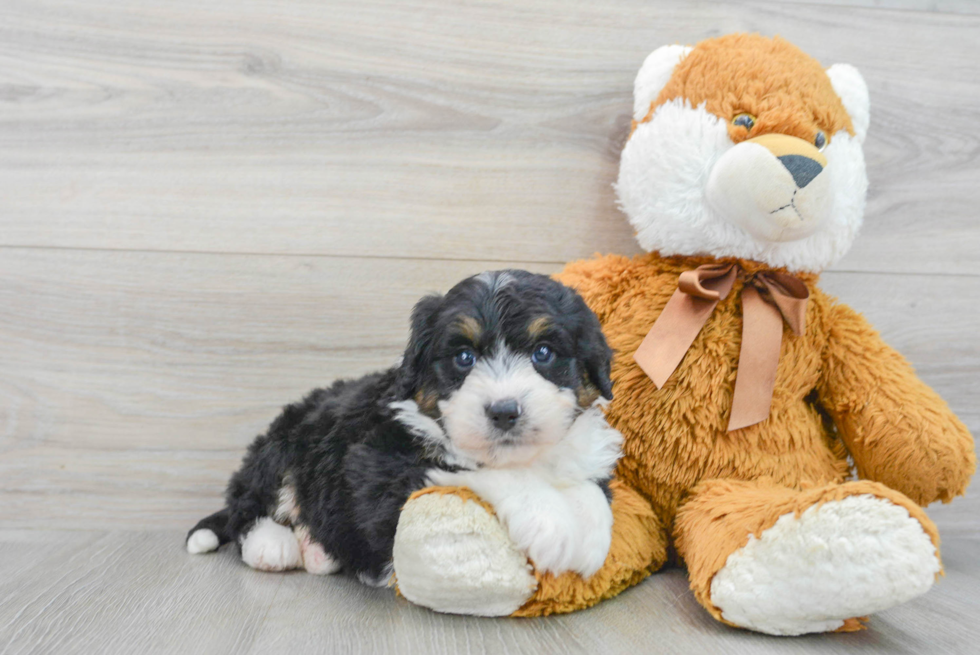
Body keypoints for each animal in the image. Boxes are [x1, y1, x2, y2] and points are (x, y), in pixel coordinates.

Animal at [186, 270, 620, 588]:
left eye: (543, 353)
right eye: (464, 357)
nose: (503, 412)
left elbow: (588, 485)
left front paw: (592, 537)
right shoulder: (378, 468)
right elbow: (479, 470)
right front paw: (552, 525)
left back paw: (319, 551)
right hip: (283, 443)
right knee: (249, 506)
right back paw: (274, 545)